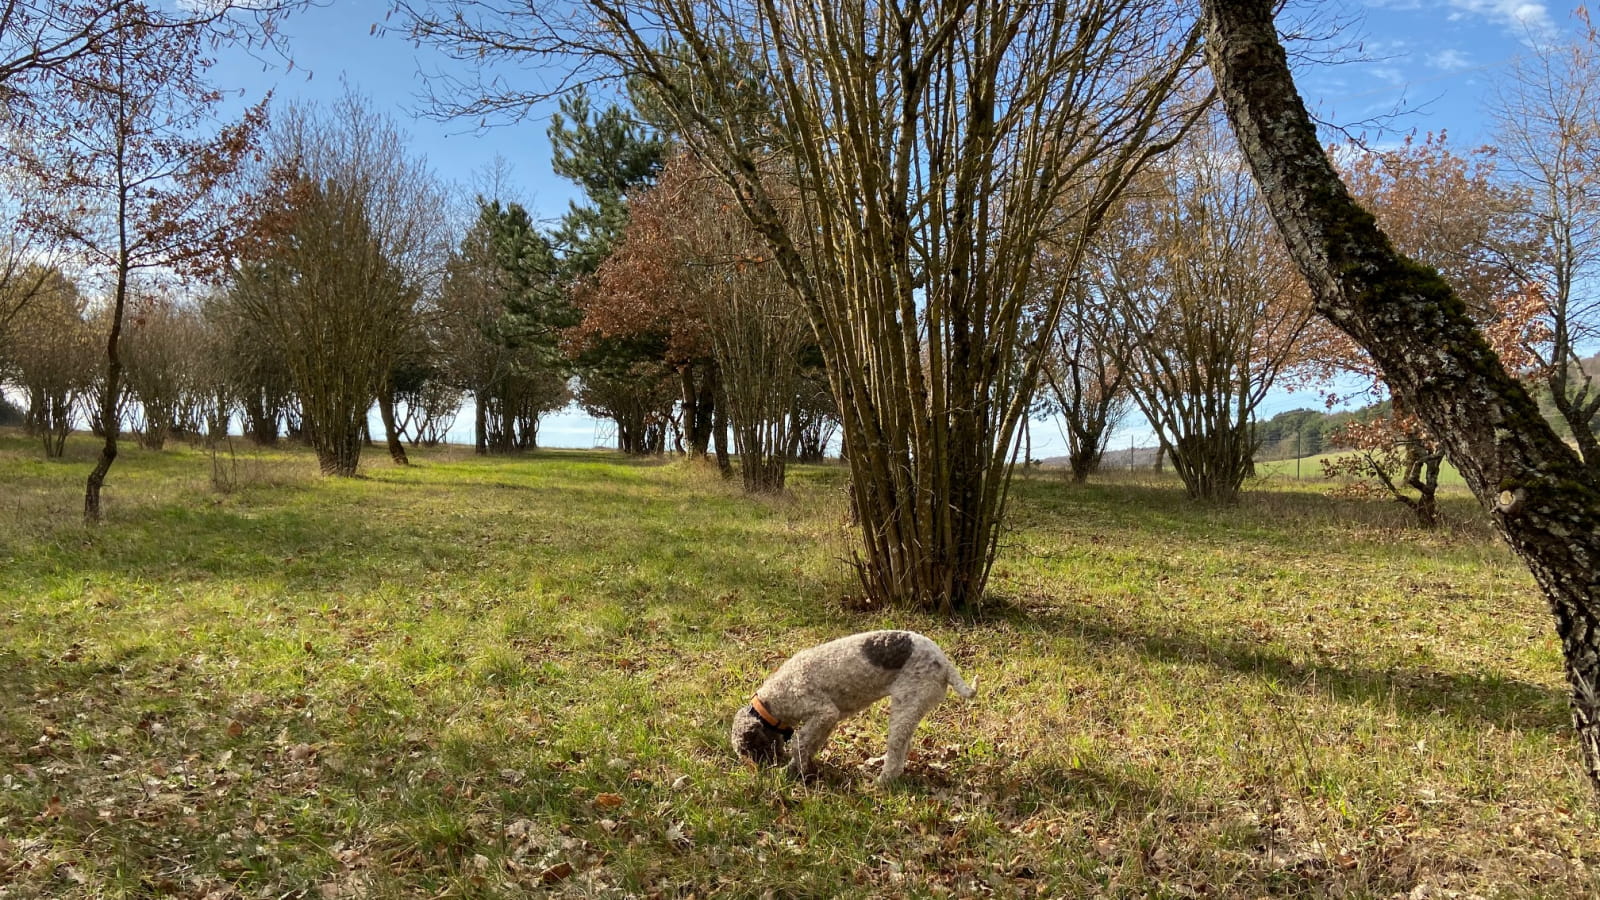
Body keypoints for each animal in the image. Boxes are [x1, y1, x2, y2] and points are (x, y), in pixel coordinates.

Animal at [729, 627, 972, 781]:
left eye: (747, 750)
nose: (756, 772)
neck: (771, 702)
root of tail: (945, 663)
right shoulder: (827, 721)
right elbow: (811, 744)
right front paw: (803, 767)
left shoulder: (823, 711)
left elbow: (800, 743)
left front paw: (791, 772)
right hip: (912, 707)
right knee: (903, 746)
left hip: (906, 704)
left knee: (896, 750)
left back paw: (882, 781)